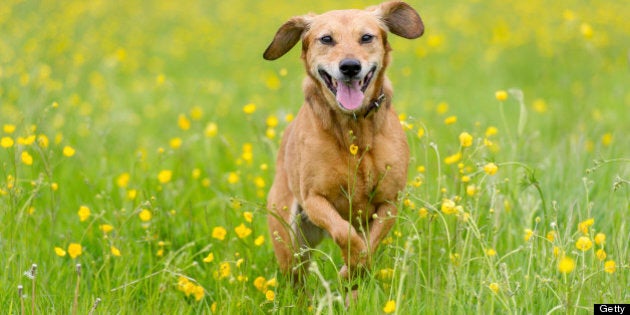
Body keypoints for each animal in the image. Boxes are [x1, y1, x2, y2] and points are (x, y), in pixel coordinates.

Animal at [262, 1, 424, 280]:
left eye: (366, 37)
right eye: (326, 38)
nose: (350, 66)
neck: (353, 127)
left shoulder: (389, 202)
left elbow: (370, 244)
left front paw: (353, 270)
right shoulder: (314, 199)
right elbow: (344, 232)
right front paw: (352, 262)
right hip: (290, 242)